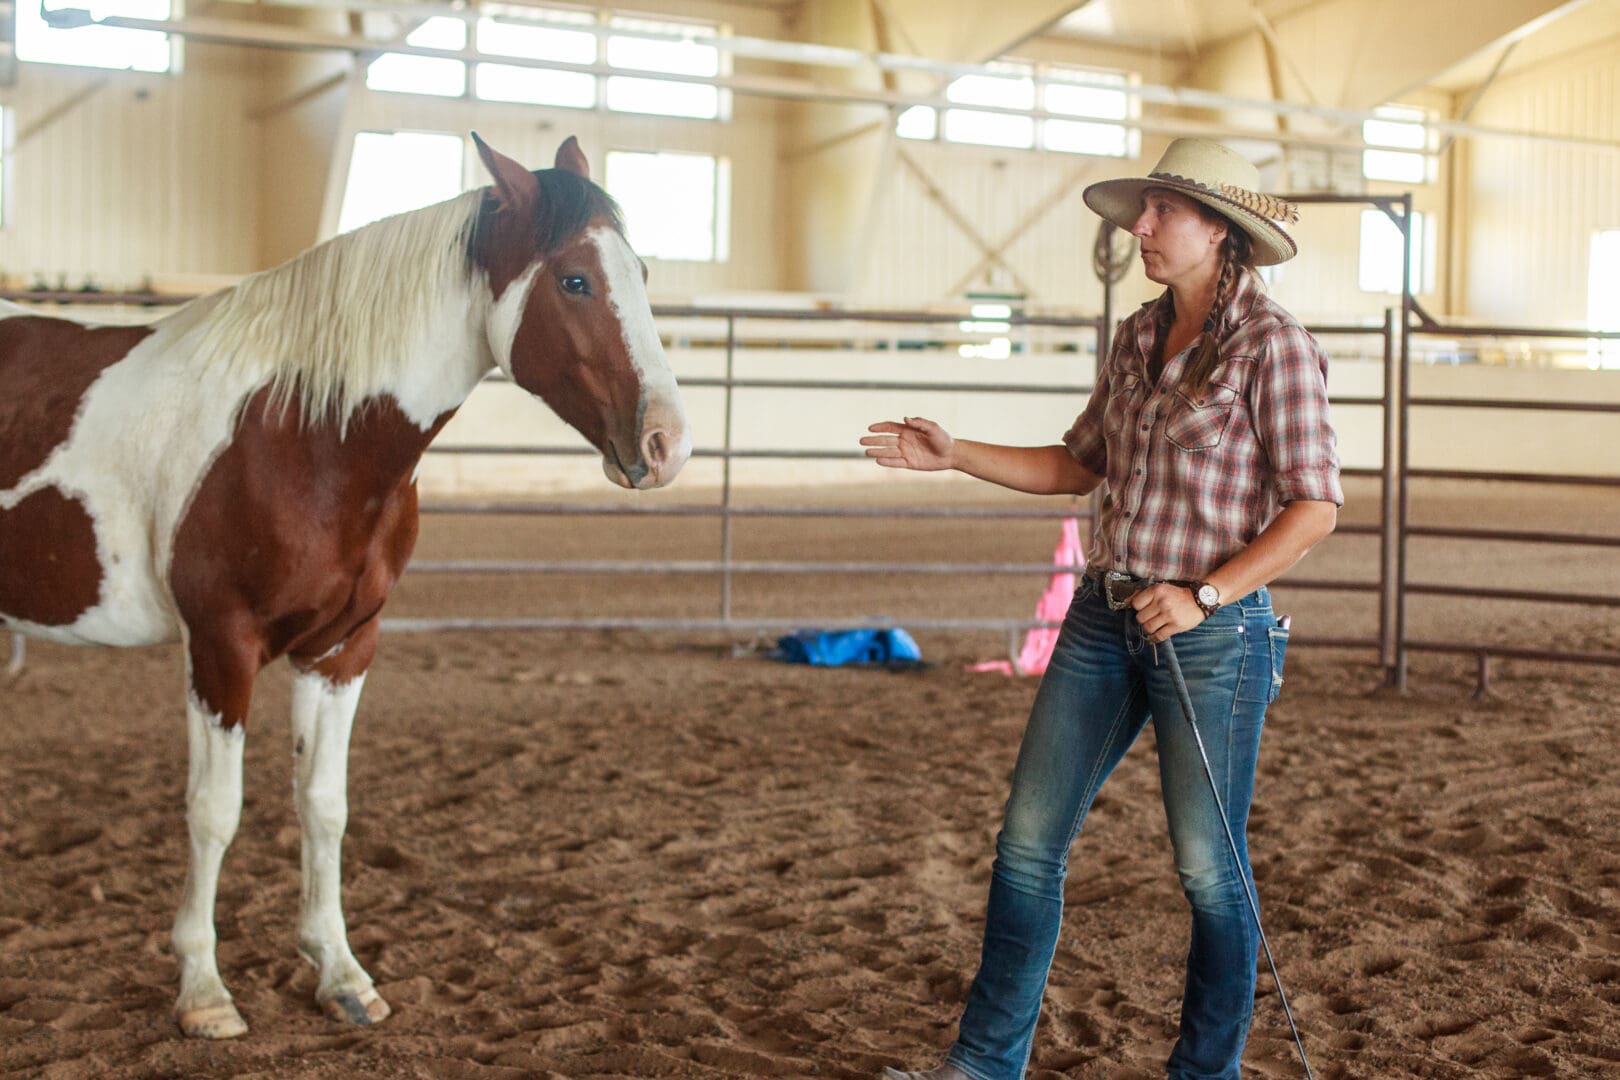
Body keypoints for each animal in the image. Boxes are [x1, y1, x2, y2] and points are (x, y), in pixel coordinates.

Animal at [0, 134, 690, 1039]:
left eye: (639, 271)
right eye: (575, 279)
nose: (668, 443)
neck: (301, 431)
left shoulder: (342, 648)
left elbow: (324, 805)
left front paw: (340, 974)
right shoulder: (220, 646)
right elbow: (213, 811)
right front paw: (204, 991)